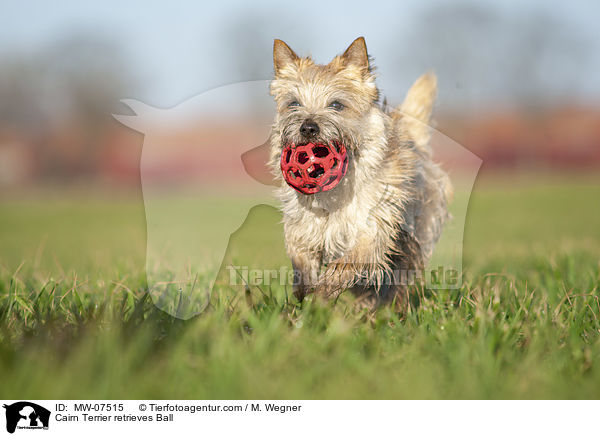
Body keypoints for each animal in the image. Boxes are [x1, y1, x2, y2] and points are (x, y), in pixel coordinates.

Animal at [268, 38, 450, 310]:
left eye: (336, 105)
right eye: (294, 104)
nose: (308, 127)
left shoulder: (371, 228)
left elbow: (347, 263)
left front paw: (321, 295)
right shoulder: (303, 228)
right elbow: (302, 262)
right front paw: (304, 294)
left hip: (415, 235)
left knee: (398, 278)